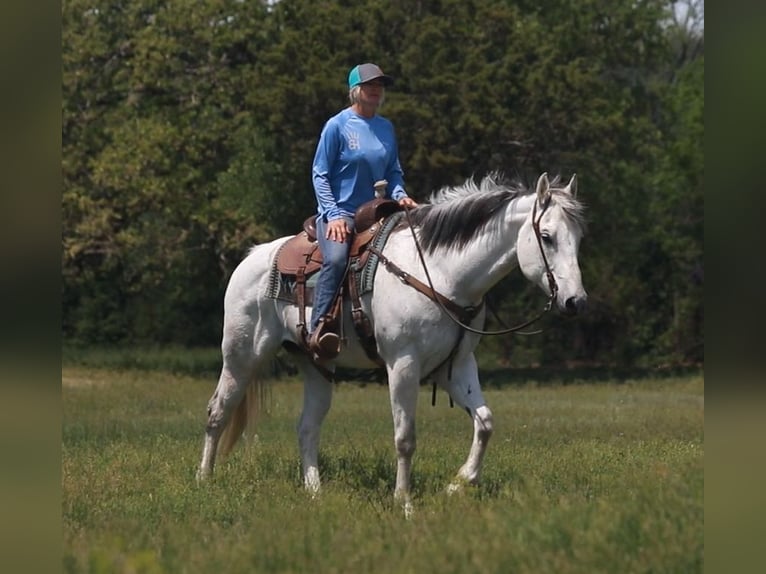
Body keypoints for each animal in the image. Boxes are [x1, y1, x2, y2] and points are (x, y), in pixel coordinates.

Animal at [198, 172, 588, 516]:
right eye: (547, 236)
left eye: (578, 238)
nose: (576, 302)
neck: (442, 273)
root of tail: (252, 257)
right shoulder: (403, 364)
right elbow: (405, 438)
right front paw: (404, 503)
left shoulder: (456, 366)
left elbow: (485, 423)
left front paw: (458, 484)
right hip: (241, 357)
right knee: (218, 412)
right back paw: (205, 480)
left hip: (316, 366)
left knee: (307, 426)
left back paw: (315, 492)